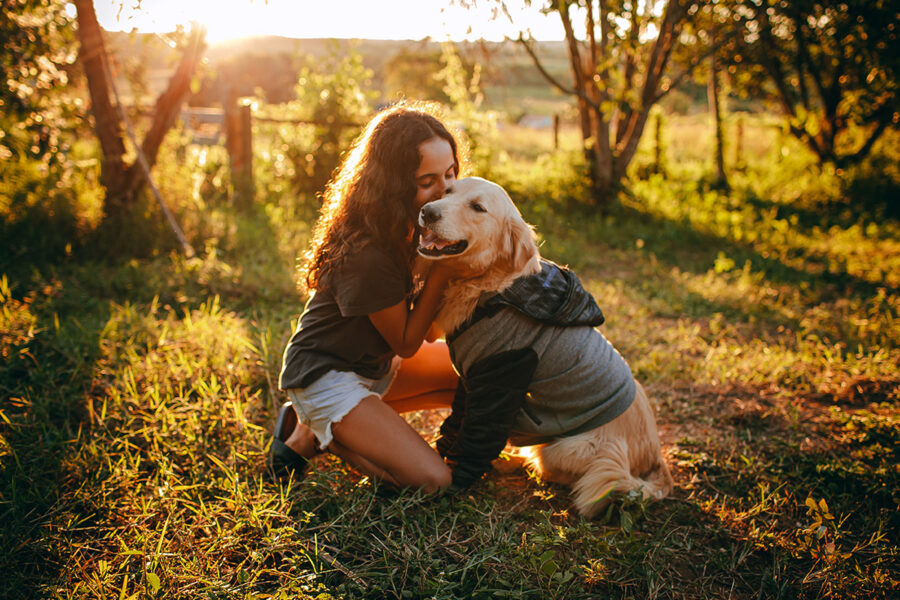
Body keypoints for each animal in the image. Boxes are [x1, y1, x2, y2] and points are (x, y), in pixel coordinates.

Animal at [418, 176, 672, 516]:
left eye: (478, 207)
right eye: (447, 191)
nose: (427, 211)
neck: (492, 290)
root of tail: (655, 460)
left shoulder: (502, 374)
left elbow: (477, 436)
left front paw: (454, 481)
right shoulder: (471, 379)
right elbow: (457, 421)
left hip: (569, 448)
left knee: (557, 471)